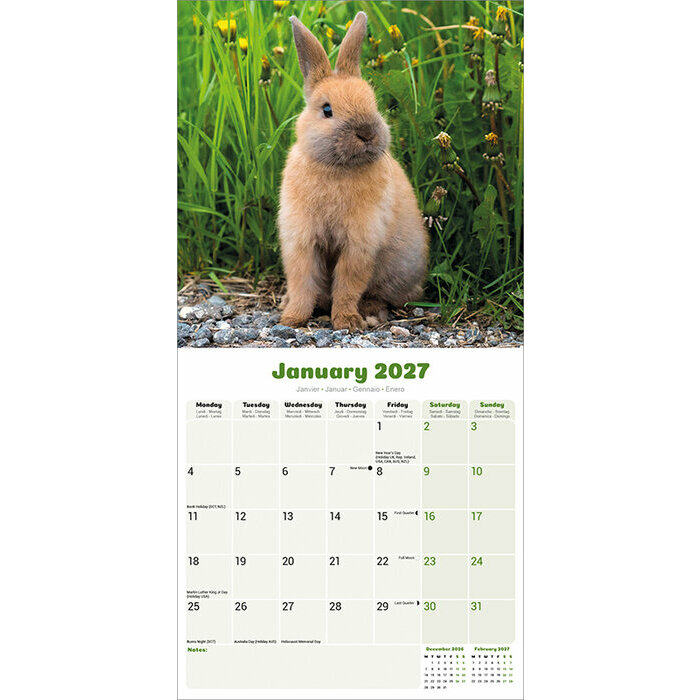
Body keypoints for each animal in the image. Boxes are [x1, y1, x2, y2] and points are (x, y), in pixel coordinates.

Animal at [278, 11, 428, 332]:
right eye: (327, 110)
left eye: (373, 103)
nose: (367, 132)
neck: (337, 167)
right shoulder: (301, 240)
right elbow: (302, 282)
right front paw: (292, 318)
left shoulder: (359, 243)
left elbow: (348, 284)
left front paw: (347, 322)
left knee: (384, 295)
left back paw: (371, 313)